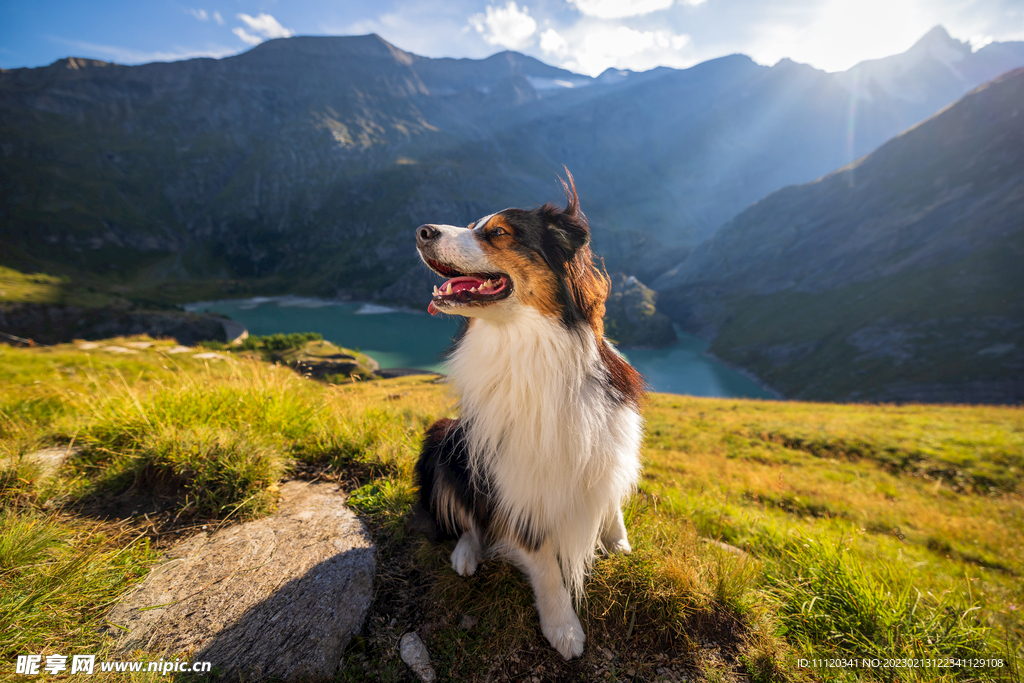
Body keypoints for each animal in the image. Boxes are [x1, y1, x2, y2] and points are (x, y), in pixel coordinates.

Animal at [409, 174, 638, 659]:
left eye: (497, 232)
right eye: (472, 226)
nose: (421, 231)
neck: (528, 348)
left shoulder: (609, 446)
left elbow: (610, 504)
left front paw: (620, 545)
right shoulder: (521, 482)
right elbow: (545, 562)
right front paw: (563, 627)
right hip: (445, 439)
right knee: (470, 519)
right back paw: (466, 554)